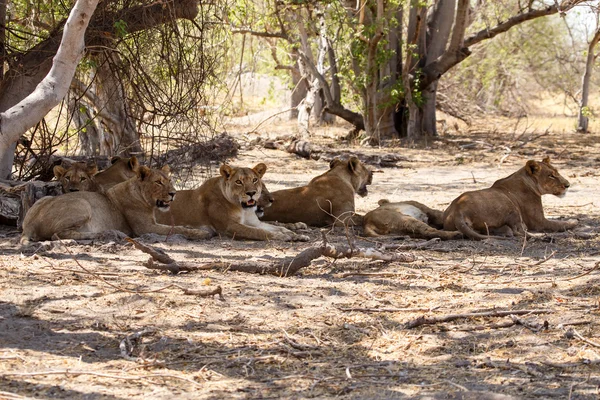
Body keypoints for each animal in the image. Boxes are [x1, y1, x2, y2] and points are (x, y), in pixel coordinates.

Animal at [21, 164, 213, 242]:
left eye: (169, 180)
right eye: (158, 182)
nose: (174, 194)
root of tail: (31, 223)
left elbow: (180, 225)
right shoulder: (144, 228)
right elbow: (177, 229)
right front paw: (201, 233)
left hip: (43, 199)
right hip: (83, 204)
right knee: (58, 235)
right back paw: (101, 234)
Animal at [157, 162, 308, 241]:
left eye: (255, 180)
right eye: (238, 182)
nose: (251, 193)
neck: (243, 209)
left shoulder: (255, 222)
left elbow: (277, 227)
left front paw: (295, 235)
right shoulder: (228, 227)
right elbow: (258, 232)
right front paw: (282, 236)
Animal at [442, 157, 580, 241]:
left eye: (557, 172)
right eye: (551, 176)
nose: (568, 185)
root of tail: (457, 210)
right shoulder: (539, 222)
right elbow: (559, 224)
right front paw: (574, 221)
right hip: (509, 206)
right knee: (519, 231)